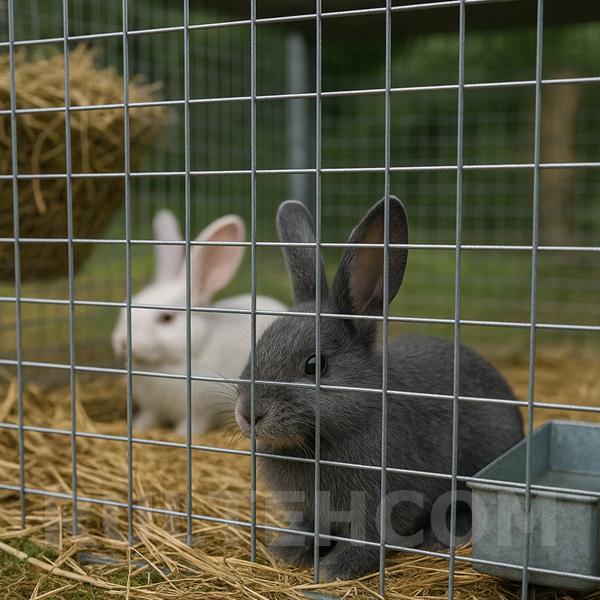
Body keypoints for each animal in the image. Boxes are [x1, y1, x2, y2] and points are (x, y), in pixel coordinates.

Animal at [112, 209, 287, 436]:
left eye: (166, 319)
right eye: (127, 306)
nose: (122, 342)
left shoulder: (199, 411)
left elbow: (192, 423)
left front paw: (181, 434)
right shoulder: (153, 408)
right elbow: (149, 417)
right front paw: (138, 426)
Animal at [235, 197, 523, 581]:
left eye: (314, 365)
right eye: (257, 344)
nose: (249, 411)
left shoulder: (380, 506)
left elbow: (368, 540)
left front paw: (335, 570)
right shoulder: (309, 511)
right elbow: (308, 529)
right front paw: (288, 551)